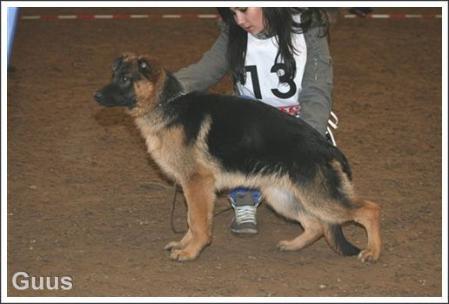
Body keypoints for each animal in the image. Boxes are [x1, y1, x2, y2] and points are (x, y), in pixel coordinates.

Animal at [94, 52, 382, 262]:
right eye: (114, 75)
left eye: (125, 79)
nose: (95, 95)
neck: (166, 104)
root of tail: (325, 146)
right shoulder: (192, 187)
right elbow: (191, 220)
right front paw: (184, 244)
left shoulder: (197, 184)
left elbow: (197, 222)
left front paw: (191, 251)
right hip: (282, 197)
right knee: (316, 226)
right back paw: (292, 245)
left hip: (319, 198)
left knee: (369, 209)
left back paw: (373, 252)